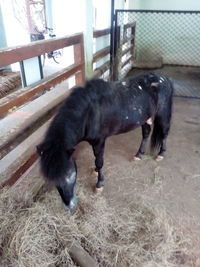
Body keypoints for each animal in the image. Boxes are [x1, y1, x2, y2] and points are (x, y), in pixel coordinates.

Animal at [37, 71, 173, 211]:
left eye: (71, 175)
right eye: (53, 181)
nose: (70, 205)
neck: (89, 113)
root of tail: (164, 78)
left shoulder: (99, 141)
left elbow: (99, 161)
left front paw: (99, 184)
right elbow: (96, 161)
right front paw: (96, 172)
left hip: (162, 114)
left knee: (164, 133)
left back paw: (161, 154)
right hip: (145, 118)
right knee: (146, 133)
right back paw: (139, 155)